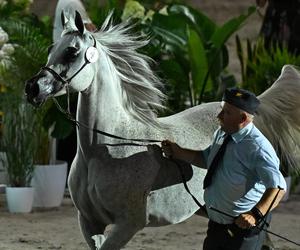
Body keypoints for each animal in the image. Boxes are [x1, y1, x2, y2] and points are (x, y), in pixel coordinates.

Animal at [25, 10, 300, 249]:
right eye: (51, 49)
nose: (32, 88)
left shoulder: (128, 225)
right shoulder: (89, 223)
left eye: (71, 52)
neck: (103, 150)